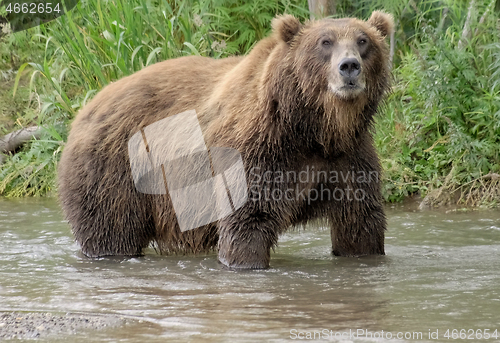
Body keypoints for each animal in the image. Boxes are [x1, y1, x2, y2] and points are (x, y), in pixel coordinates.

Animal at [58, 10, 394, 268]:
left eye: (363, 41)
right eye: (325, 42)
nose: (349, 66)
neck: (314, 129)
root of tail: (85, 109)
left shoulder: (348, 158)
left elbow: (360, 223)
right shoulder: (257, 151)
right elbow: (247, 221)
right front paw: (245, 262)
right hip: (113, 172)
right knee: (110, 231)